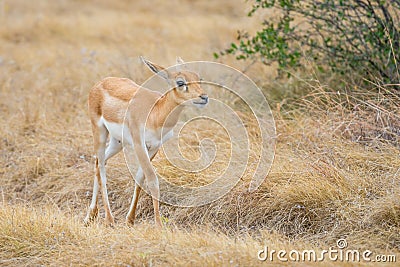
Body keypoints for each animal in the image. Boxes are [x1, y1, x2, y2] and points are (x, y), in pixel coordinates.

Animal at [85, 57, 209, 227]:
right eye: (180, 82)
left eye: (199, 78)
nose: (204, 97)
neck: (156, 114)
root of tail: (100, 83)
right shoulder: (139, 145)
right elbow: (152, 180)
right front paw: (158, 225)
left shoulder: (154, 147)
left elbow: (140, 178)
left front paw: (130, 219)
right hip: (100, 132)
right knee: (102, 169)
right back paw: (109, 219)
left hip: (117, 142)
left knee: (98, 163)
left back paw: (91, 215)